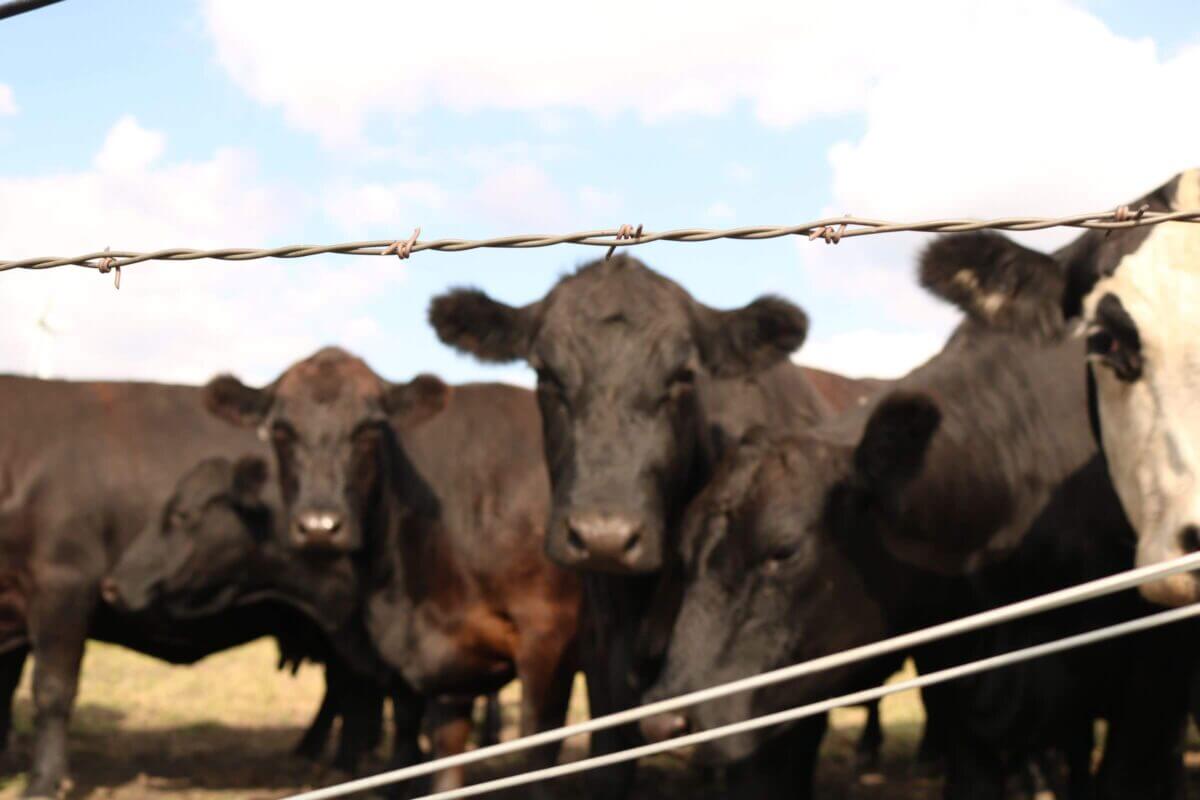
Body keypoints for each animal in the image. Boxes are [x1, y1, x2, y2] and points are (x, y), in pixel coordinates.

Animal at [199, 349, 582, 795]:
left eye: (369, 429)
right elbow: (441, 757)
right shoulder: (446, 664)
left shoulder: (549, 633)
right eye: (281, 430)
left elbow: (538, 750)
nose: (319, 526)